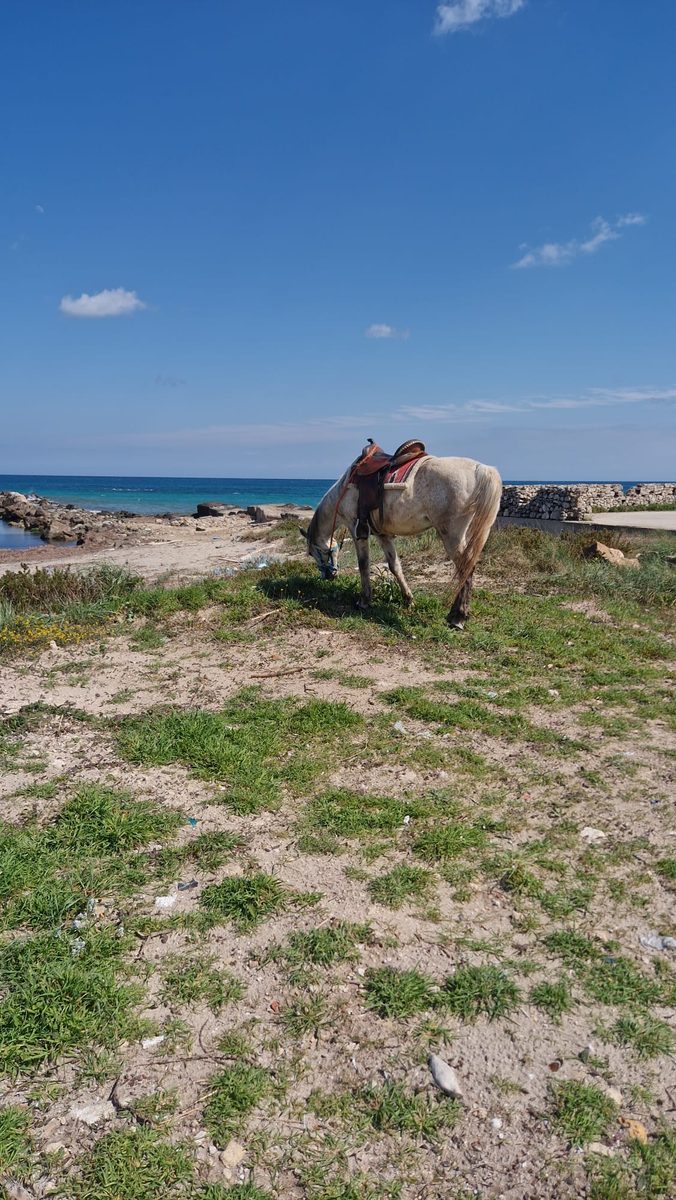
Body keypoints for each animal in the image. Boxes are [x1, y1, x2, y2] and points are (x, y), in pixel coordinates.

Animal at [301, 447, 502, 629]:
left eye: (312, 553)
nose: (328, 576)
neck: (344, 488)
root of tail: (481, 469)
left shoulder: (356, 529)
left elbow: (363, 564)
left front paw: (364, 601)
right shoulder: (383, 535)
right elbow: (394, 566)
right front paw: (408, 600)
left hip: (452, 535)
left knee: (465, 568)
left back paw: (458, 617)